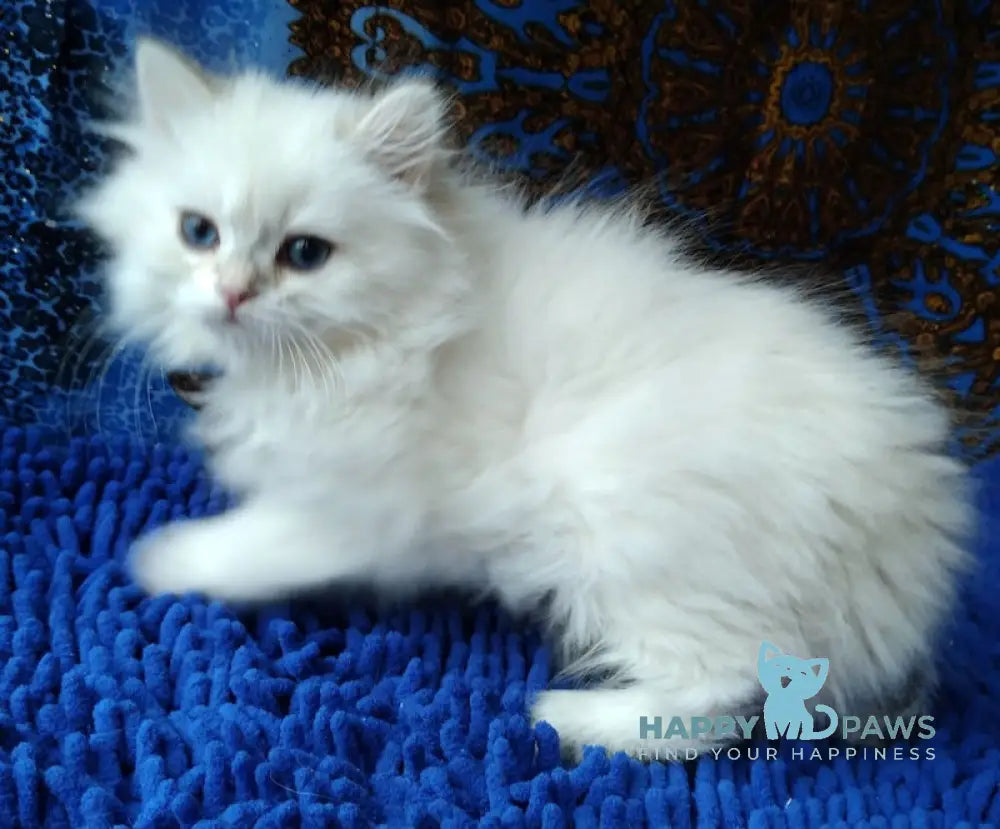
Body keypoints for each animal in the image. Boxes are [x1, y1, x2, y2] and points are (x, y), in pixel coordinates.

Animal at [80, 42, 976, 760]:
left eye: (304, 254)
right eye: (198, 233)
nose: (232, 293)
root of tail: (910, 535)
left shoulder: (362, 510)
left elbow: (248, 546)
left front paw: (162, 558)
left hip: (626, 523)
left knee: (721, 691)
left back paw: (567, 717)